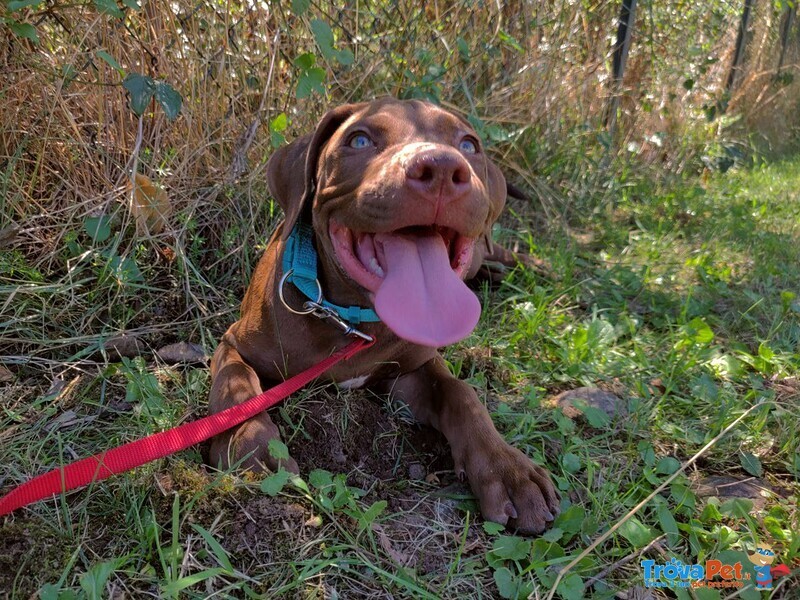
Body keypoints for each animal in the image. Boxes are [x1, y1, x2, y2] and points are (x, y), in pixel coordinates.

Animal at [206, 98, 560, 536]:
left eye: (468, 144)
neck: (354, 319)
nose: (442, 168)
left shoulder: (413, 372)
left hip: (482, 244)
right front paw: (252, 446)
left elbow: (462, 394)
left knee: (498, 249)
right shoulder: (235, 343)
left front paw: (508, 469)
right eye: (359, 140)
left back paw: (538, 266)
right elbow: (236, 386)